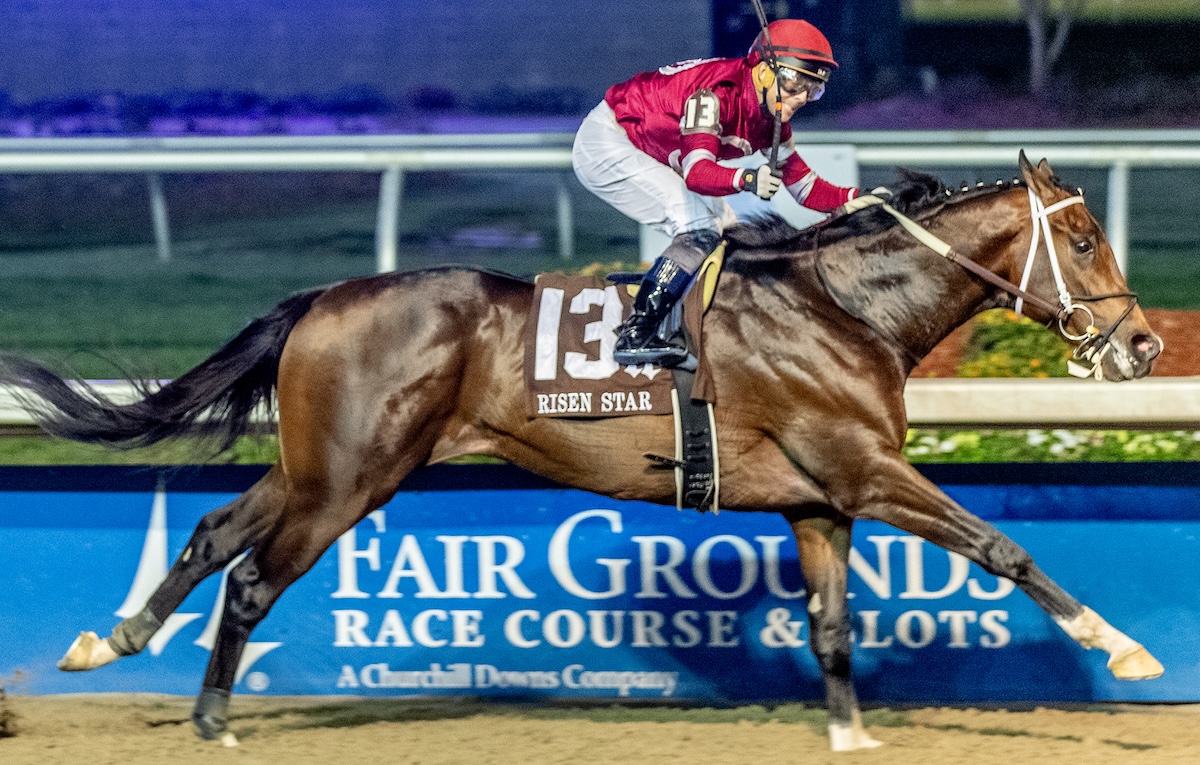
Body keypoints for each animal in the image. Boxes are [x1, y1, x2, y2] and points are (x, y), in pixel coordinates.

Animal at [0, 152, 1161, 753]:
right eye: (1085, 238)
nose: (1143, 345)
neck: (845, 306)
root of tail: (322, 297)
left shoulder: (819, 499)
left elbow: (832, 626)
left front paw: (849, 734)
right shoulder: (866, 470)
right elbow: (1003, 548)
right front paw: (1123, 650)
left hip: (319, 462)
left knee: (210, 532)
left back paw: (108, 641)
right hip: (353, 479)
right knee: (250, 579)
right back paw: (211, 720)